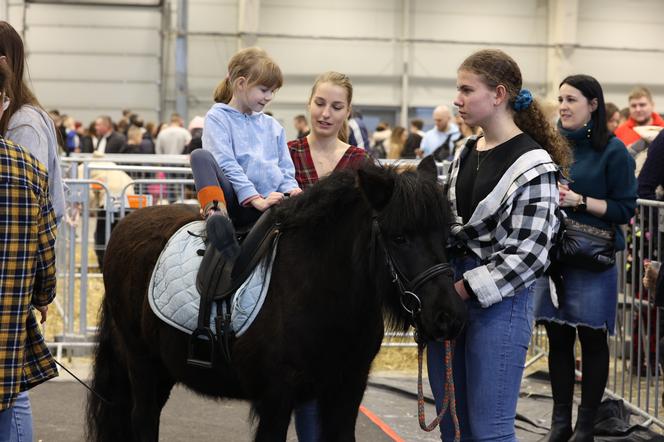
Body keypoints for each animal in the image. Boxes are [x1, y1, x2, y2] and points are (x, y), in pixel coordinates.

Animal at [87, 157, 466, 440]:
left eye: (445, 235)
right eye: (399, 237)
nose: (447, 316)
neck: (320, 290)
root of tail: (126, 224)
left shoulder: (346, 392)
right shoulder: (276, 397)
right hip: (141, 363)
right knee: (143, 421)